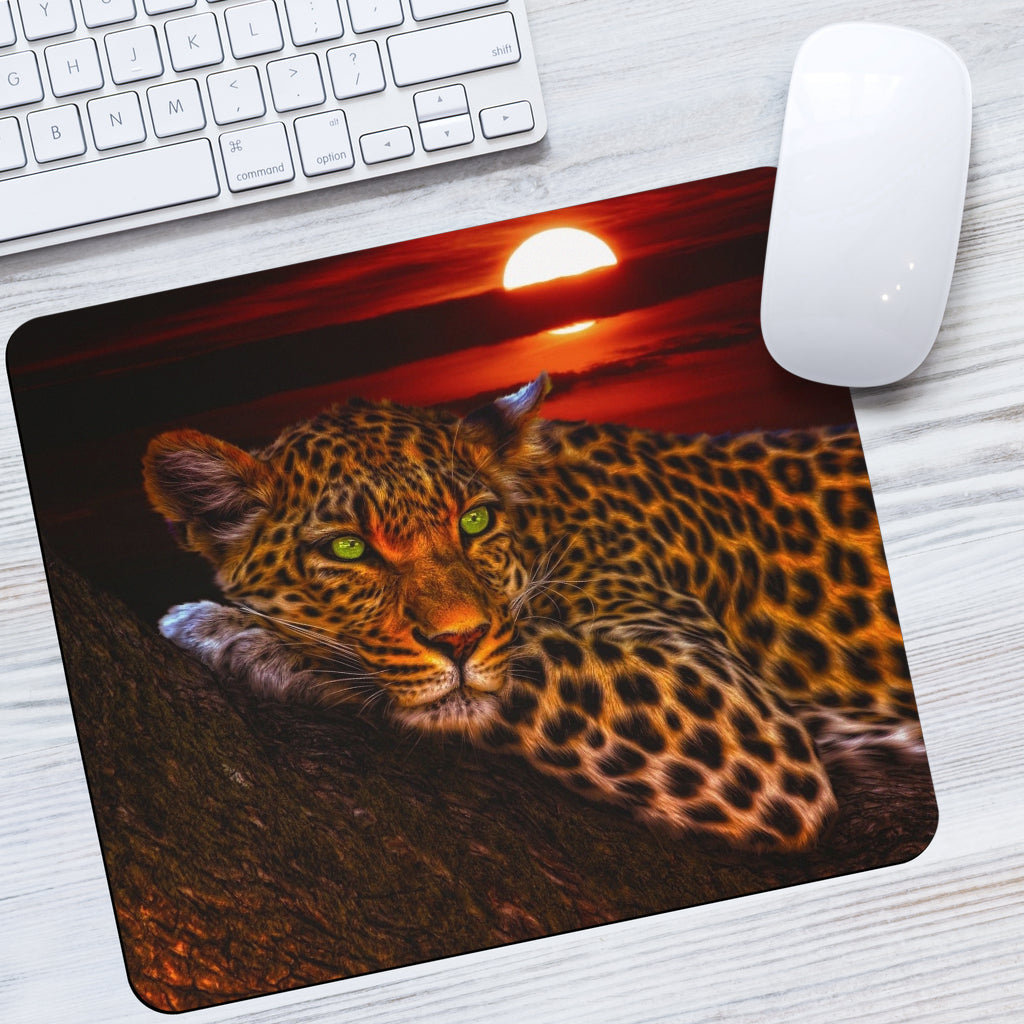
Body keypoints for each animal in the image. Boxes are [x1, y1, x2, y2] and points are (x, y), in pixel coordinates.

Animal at [143, 372, 922, 854]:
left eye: (475, 521)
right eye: (348, 547)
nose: (459, 639)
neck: (544, 518)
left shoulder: (735, 715)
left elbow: (524, 658)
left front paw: (231, 630)